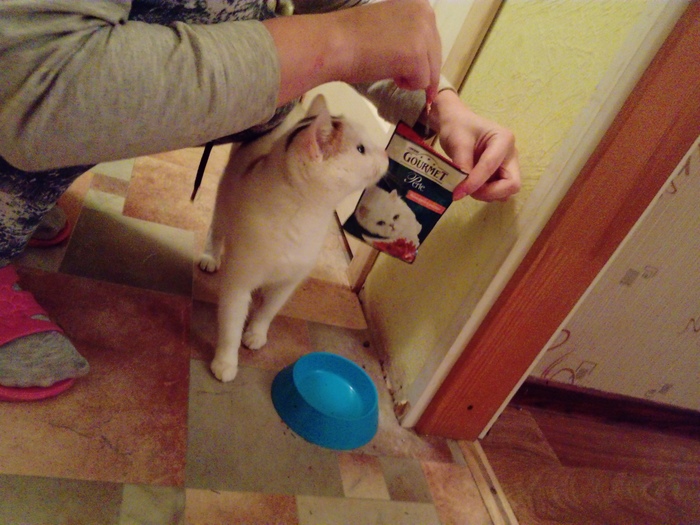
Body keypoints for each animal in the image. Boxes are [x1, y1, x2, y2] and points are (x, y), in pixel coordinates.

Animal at [199, 94, 388, 382]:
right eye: (361, 149)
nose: (387, 155)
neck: (303, 216)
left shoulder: (289, 281)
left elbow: (269, 310)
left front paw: (256, 332)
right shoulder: (238, 282)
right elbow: (231, 324)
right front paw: (226, 362)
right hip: (224, 195)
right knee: (217, 227)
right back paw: (210, 256)